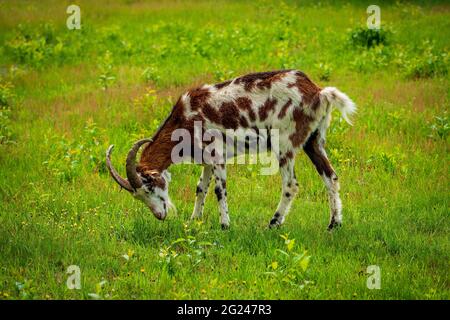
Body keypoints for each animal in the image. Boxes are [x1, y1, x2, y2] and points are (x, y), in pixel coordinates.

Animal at [105, 70, 356, 230]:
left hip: (285, 144)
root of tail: (318, 92)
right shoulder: (206, 159)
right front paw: (194, 220)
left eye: (148, 188)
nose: (160, 215)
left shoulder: (217, 154)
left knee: (291, 185)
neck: (186, 117)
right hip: (313, 141)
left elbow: (219, 190)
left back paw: (273, 223)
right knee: (330, 176)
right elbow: (200, 188)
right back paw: (334, 224)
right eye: (138, 197)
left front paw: (225, 225)